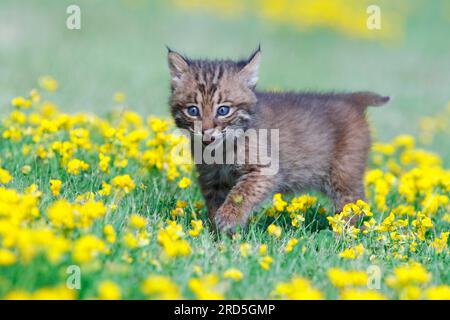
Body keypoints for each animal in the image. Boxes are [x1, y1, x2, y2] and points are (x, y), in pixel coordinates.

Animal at [167, 47, 388, 232]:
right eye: (193, 110)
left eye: (223, 111)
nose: (205, 132)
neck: (221, 148)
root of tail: (351, 99)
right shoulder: (211, 178)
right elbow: (215, 202)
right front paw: (217, 234)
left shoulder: (265, 171)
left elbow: (240, 193)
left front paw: (228, 219)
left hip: (344, 173)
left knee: (355, 204)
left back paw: (346, 236)